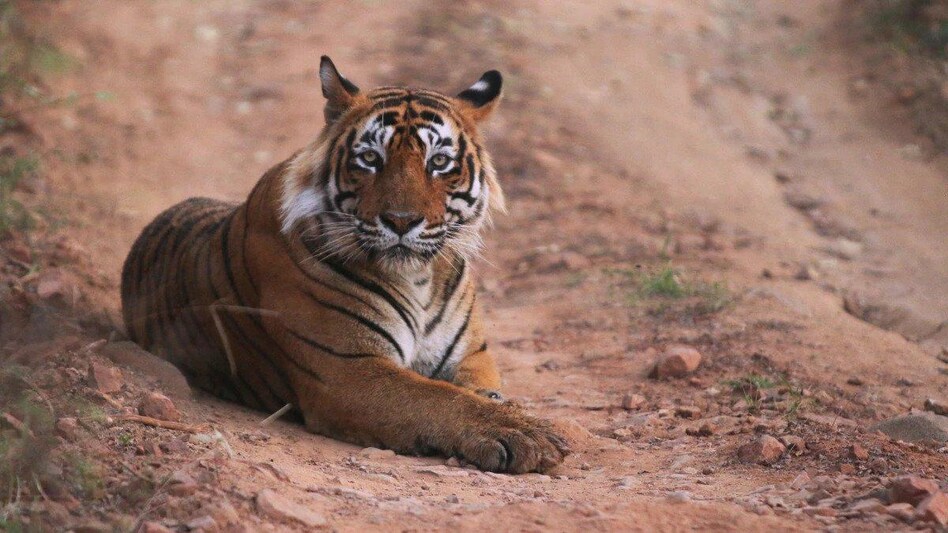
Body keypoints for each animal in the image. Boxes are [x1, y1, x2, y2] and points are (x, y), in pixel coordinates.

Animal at [120, 56, 569, 473]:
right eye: (370, 157)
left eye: (439, 162)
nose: (401, 221)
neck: (418, 279)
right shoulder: (346, 368)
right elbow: (438, 397)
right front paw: (523, 433)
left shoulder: (471, 357)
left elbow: (474, 390)